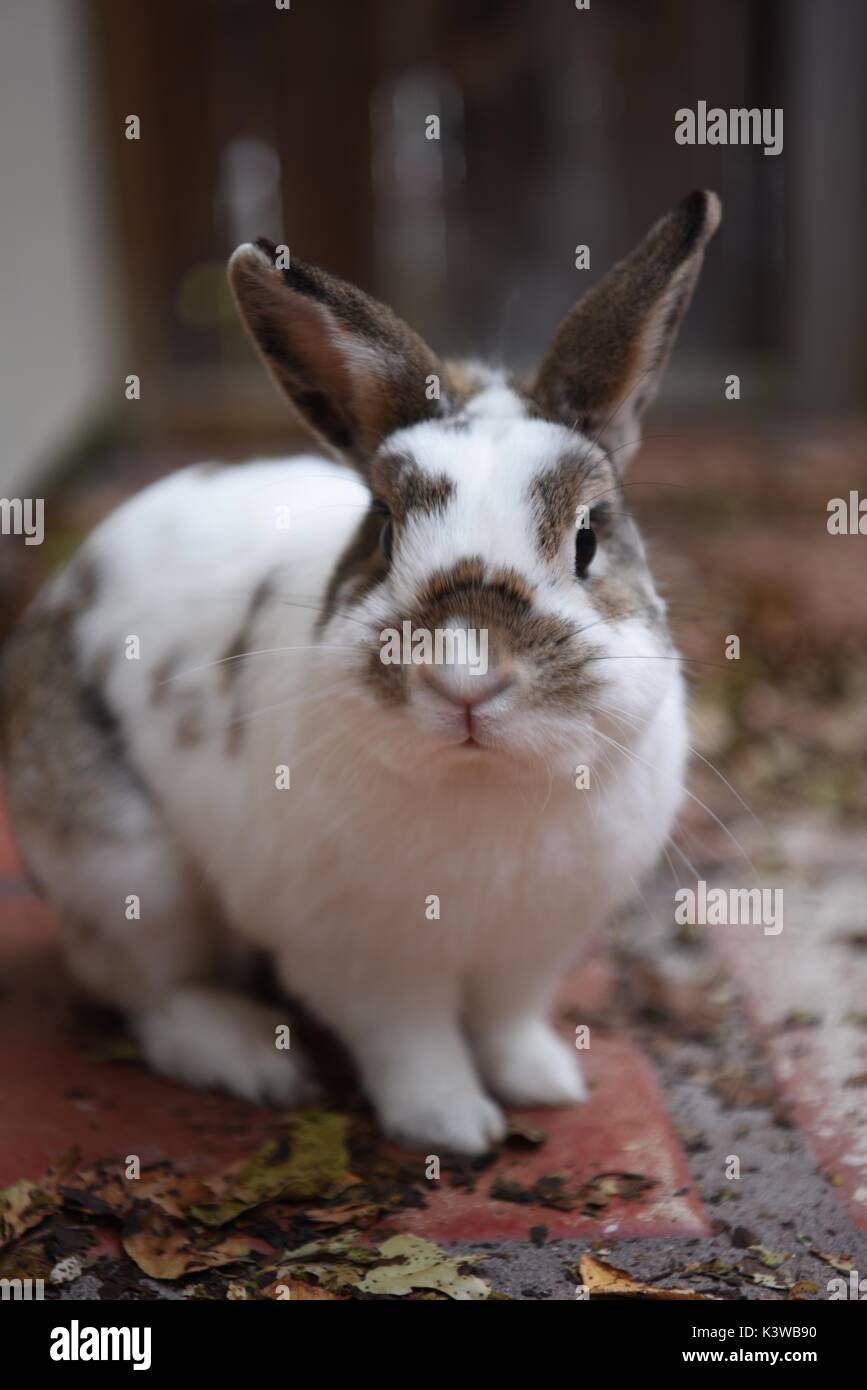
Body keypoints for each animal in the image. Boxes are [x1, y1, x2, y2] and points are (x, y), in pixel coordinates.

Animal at [0, 190, 720, 1154]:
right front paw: (453, 1125)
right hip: (124, 872)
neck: (481, 786)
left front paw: (542, 1084)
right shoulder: (365, 964)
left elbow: (504, 1020)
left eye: (586, 539)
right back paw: (246, 1056)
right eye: (381, 532)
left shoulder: (529, 952)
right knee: (148, 991)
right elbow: (412, 1043)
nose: (464, 678)